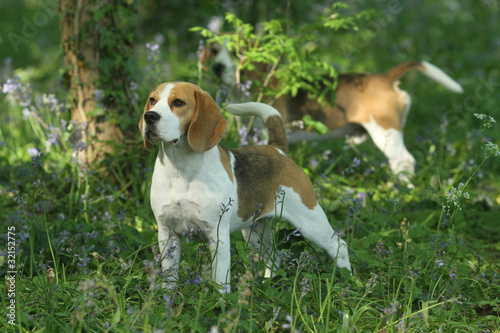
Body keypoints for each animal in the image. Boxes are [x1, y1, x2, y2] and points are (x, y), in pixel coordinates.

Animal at [140, 81, 352, 292]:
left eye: (178, 102)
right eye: (152, 100)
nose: (149, 116)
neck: (180, 169)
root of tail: (278, 149)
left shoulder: (217, 234)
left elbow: (220, 280)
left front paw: (220, 300)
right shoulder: (167, 232)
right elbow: (169, 276)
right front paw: (167, 298)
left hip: (310, 222)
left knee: (340, 246)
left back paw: (346, 283)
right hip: (255, 233)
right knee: (273, 256)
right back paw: (267, 283)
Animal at [204, 41, 464, 178]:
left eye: (237, 52)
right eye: (215, 51)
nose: (217, 67)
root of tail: (386, 78)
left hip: (386, 132)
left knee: (404, 161)